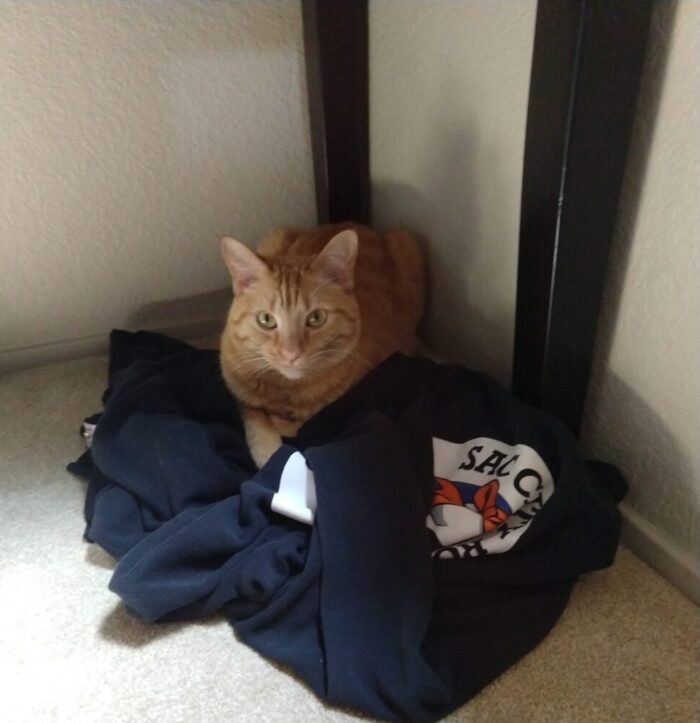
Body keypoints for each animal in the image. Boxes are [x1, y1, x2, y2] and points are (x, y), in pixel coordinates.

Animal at [221, 222, 424, 470]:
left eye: (316, 318)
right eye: (265, 320)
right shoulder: (239, 397)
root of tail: (353, 223)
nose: (291, 354)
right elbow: (257, 423)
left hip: (407, 245)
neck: (288, 390)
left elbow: (301, 425)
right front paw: (271, 454)